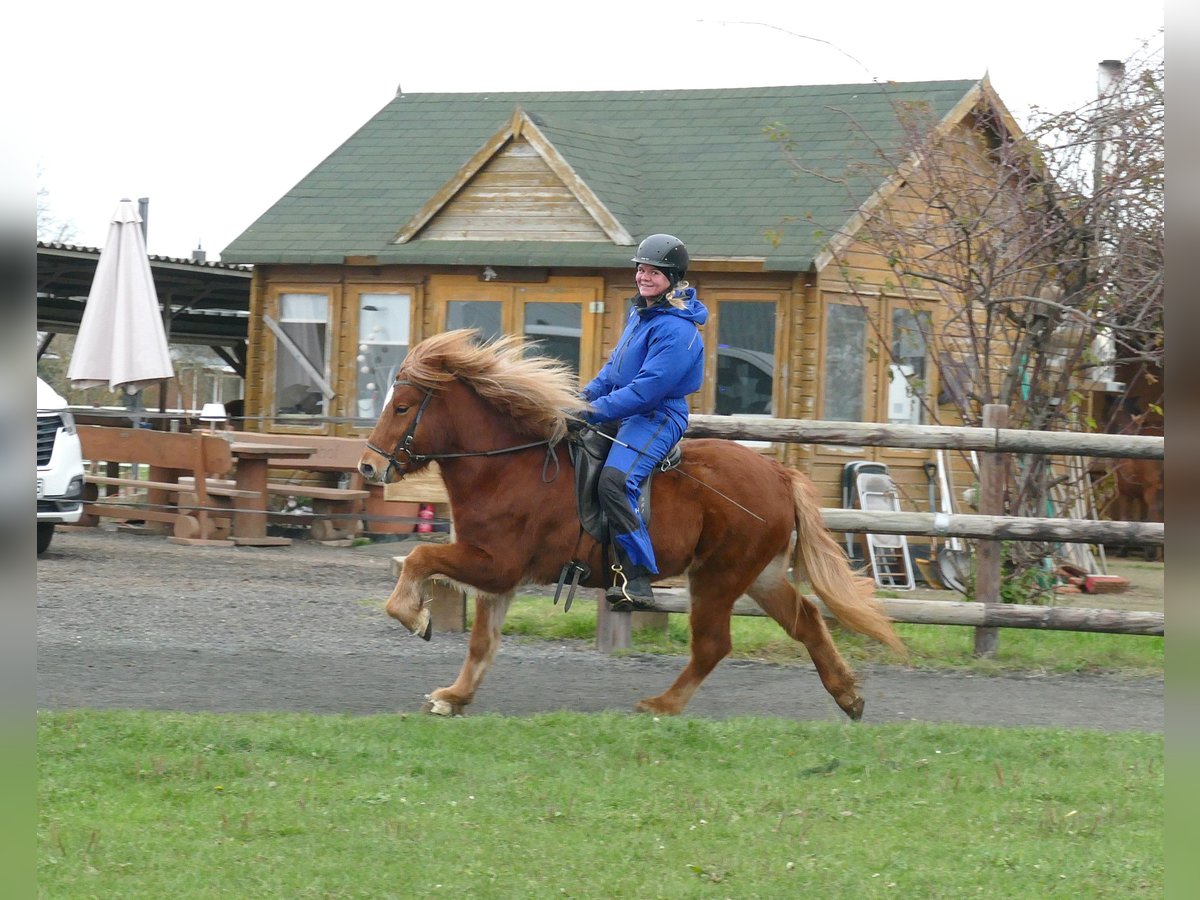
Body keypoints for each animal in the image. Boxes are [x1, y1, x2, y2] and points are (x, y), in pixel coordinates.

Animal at [358, 329, 906, 719]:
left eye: (402, 407)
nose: (367, 467)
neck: (509, 466)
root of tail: (778, 472)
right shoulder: (497, 578)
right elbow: (481, 644)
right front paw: (454, 696)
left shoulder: (495, 564)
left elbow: (420, 558)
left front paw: (417, 618)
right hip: (760, 574)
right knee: (806, 620)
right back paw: (848, 696)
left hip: (719, 576)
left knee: (714, 644)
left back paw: (662, 705)